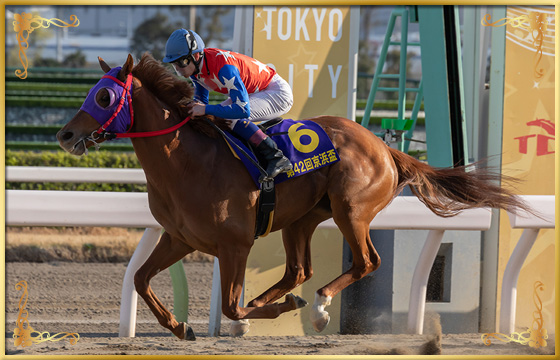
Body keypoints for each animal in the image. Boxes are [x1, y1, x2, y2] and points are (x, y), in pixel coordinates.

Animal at [54, 53, 528, 340]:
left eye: (103, 95)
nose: (66, 135)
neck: (186, 163)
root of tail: (383, 146)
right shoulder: (179, 238)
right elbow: (140, 279)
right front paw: (179, 326)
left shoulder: (235, 244)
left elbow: (231, 306)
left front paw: (255, 316)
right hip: (302, 218)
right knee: (300, 269)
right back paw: (280, 298)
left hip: (351, 209)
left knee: (365, 262)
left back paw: (317, 306)